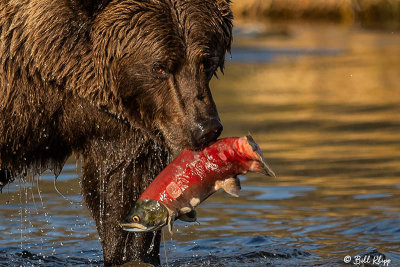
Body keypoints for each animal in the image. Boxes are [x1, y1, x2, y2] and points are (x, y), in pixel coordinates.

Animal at [0, 0, 233, 266]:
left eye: (207, 61)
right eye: (159, 67)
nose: (205, 128)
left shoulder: (119, 121)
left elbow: (121, 186)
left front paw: (130, 251)